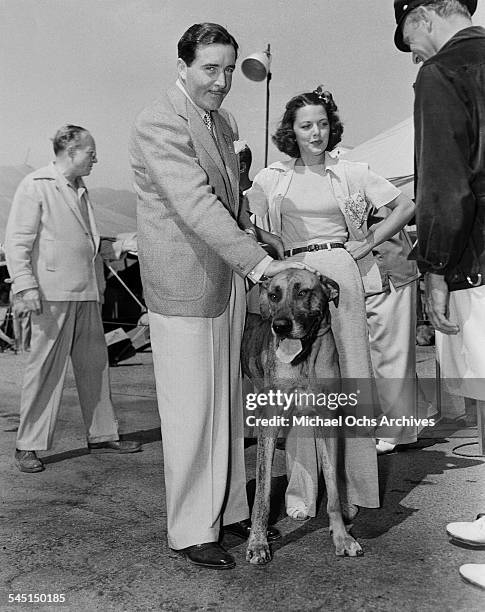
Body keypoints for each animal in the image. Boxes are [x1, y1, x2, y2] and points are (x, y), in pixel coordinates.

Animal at [240, 270, 362, 568]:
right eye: (274, 295)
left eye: (303, 292)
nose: (280, 326)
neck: (304, 361)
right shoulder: (269, 425)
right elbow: (262, 494)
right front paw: (258, 543)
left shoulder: (327, 421)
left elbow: (333, 487)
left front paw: (342, 537)